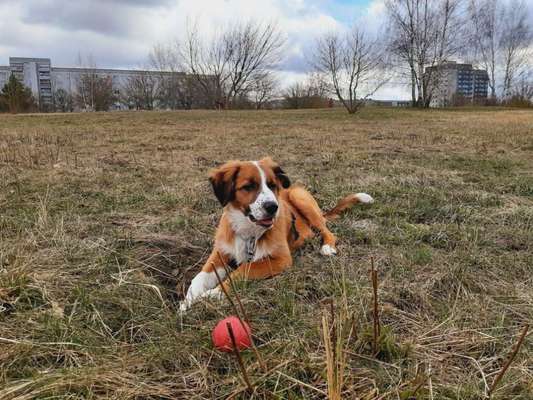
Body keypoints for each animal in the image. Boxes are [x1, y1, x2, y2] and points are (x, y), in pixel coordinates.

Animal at [181, 158, 372, 310]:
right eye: (248, 186)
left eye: (273, 185)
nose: (273, 207)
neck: (249, 231)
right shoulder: (219, 254)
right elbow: (199, 277)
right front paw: (188, 301)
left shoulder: (281, 259)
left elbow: (243, 269)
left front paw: (213, 294)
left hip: (299, 197)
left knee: (327, 230)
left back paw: (326, 247)